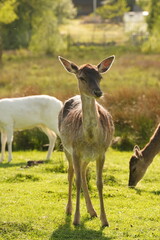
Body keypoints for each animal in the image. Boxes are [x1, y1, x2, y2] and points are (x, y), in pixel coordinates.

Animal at [58, 55, 115, 227]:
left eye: (100, 77)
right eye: (81, 77)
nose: (98, 92)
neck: (90, 138)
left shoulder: (101, 152)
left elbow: (99, 183)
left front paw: (105, 220)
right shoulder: (75, 151)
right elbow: (76, 181)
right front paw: (76, 219)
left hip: (87, 157)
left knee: (83, 174)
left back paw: (92, 211)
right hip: (66, 148)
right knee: (71, 174)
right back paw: (69, 209)